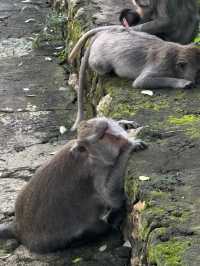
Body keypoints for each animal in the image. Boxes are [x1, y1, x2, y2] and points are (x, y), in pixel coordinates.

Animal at [0, 118, 147, 254]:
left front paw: (124, 123)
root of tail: (17, 227)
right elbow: (109, 195)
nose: (118, 137)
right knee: (94, 227)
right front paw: (130, 147)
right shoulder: (96, 171)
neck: (92, 156)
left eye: (107, 128)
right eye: (103, 136)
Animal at [69, 27, 200, 130]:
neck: (175, 57)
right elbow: (141, 81)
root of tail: (102, 34)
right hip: (99, 58)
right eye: (199, 72)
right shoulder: (163, 63)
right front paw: (183, 83)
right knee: (101, 66)